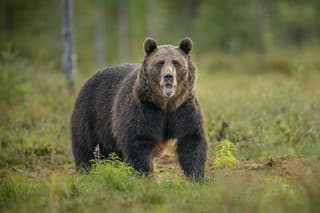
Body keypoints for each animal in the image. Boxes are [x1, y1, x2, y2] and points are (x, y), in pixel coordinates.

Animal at [70, 37, 208, 180]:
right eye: (160, 63)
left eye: (176, 62)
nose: (168, 76)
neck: (166, 104)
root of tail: (88, 80)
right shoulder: (145, 109)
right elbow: (138, 140)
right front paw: (144, 174)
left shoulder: (183, 108)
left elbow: (191, 138)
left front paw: (195, 175)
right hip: (91, 115)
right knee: (86, 148)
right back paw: (85, 171)